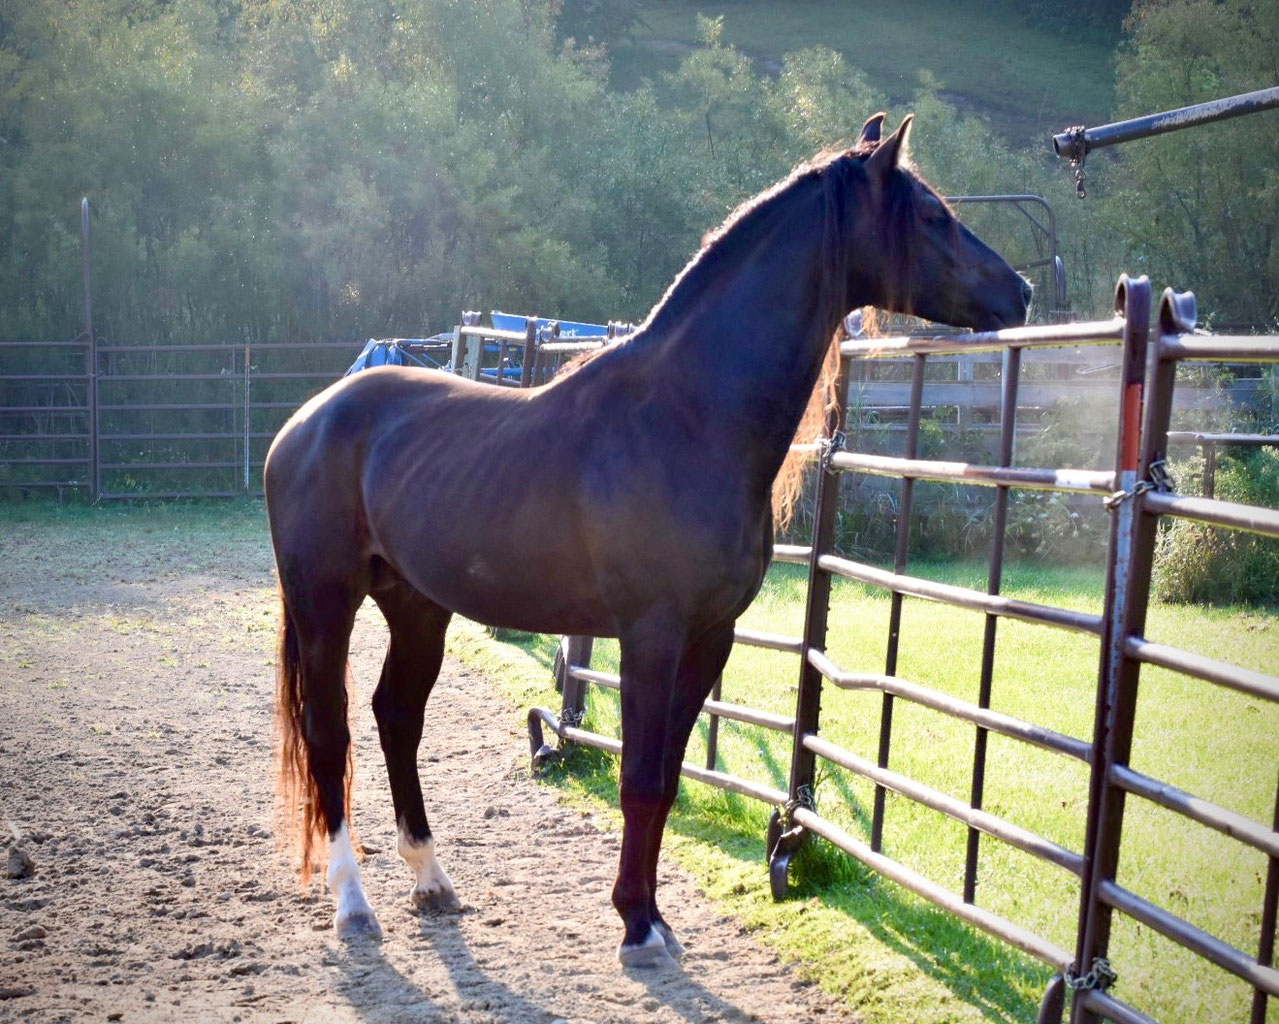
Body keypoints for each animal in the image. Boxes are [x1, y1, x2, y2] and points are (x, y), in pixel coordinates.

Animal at [264, 113, 1031, 968]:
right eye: (930, 214)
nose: (1018, 291)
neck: (685, 418)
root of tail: (309, 419)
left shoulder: (708, 637)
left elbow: (663, 781)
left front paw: (652, 916)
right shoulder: (650, 635)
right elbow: (636, 778)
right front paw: (635, 925)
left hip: (418, 607)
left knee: (396, 715)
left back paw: (431, 881)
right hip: (325, 602)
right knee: (329, 731)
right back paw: (353, 906)